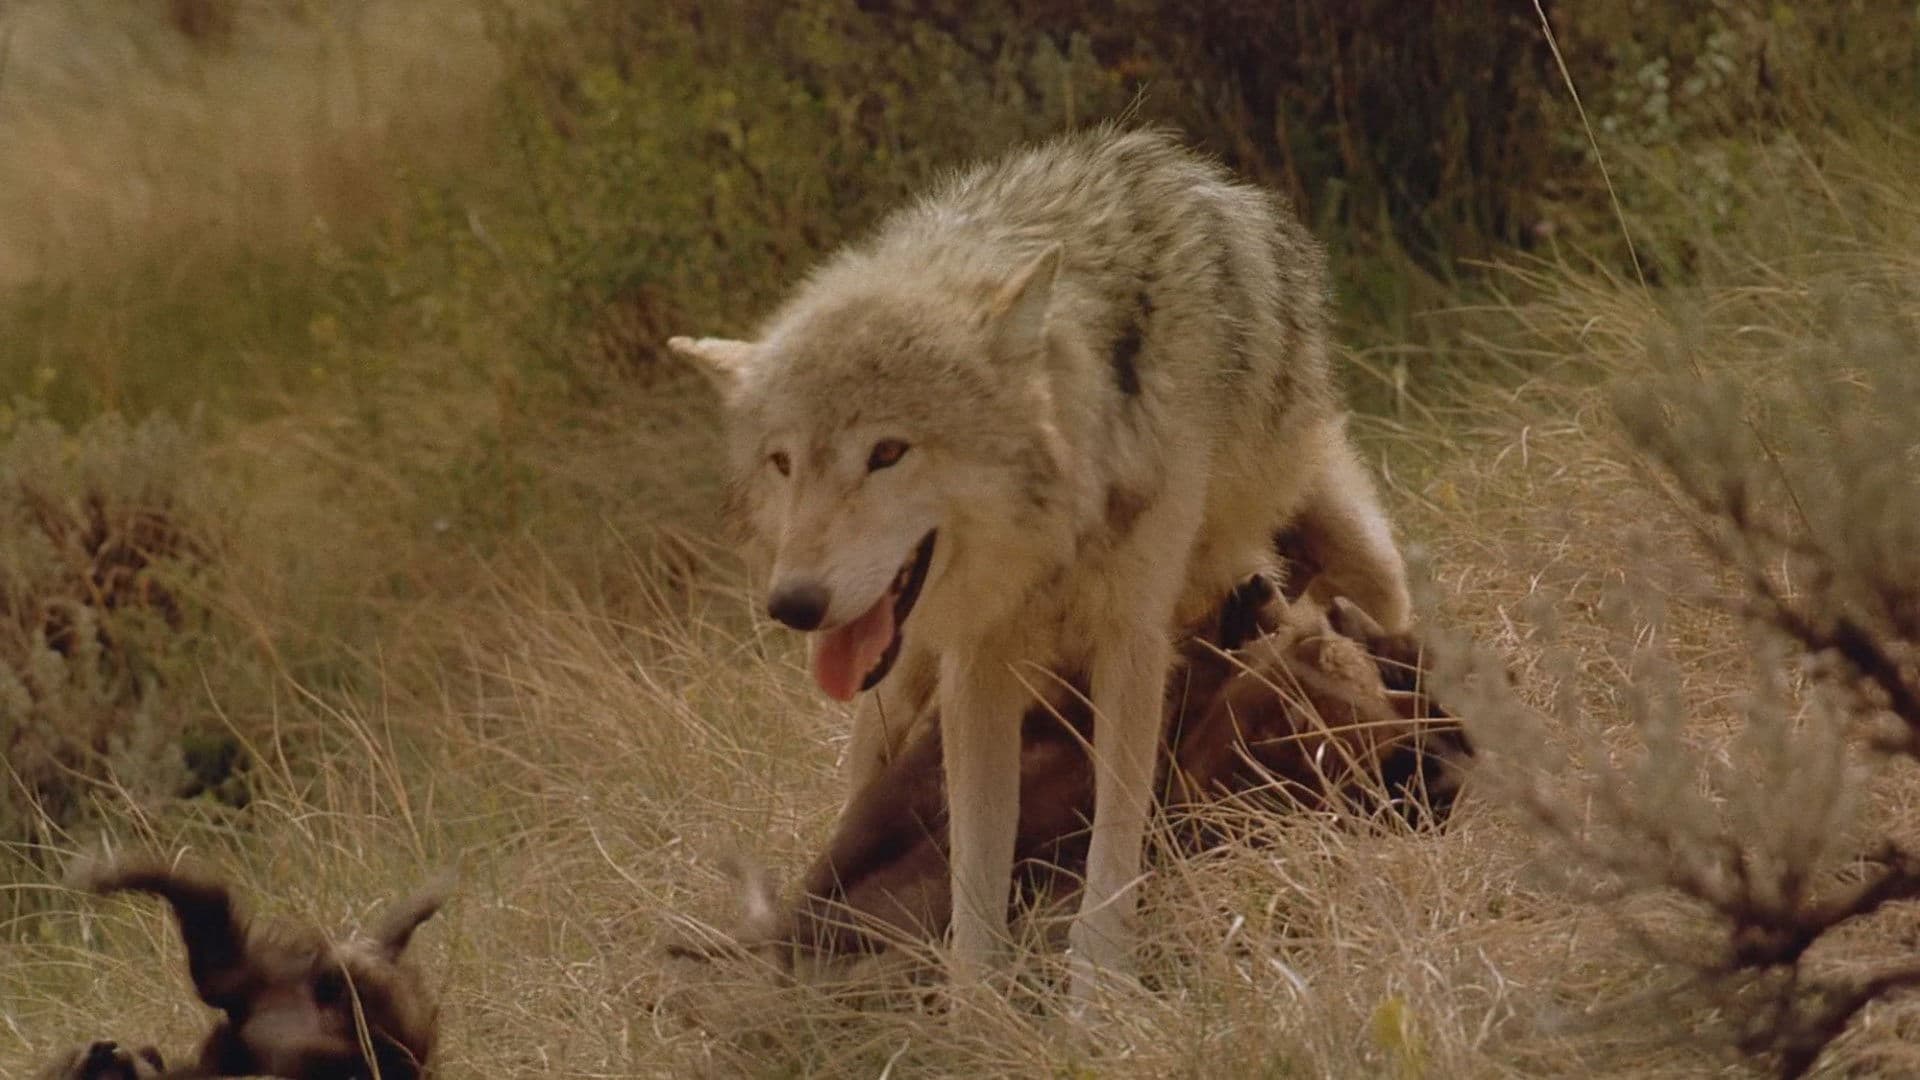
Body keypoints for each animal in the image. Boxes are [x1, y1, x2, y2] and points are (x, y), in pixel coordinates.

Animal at [669, 126, 1411, 994]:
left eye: (886, 452)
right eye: (783, 463)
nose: (792, 604)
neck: (1052, 543)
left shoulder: (1131, 645)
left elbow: (1111, 856)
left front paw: (1100, 996)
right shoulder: (979, 664)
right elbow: (977, 879)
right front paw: (978, 1006)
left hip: (1367, 561)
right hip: (894, 695)